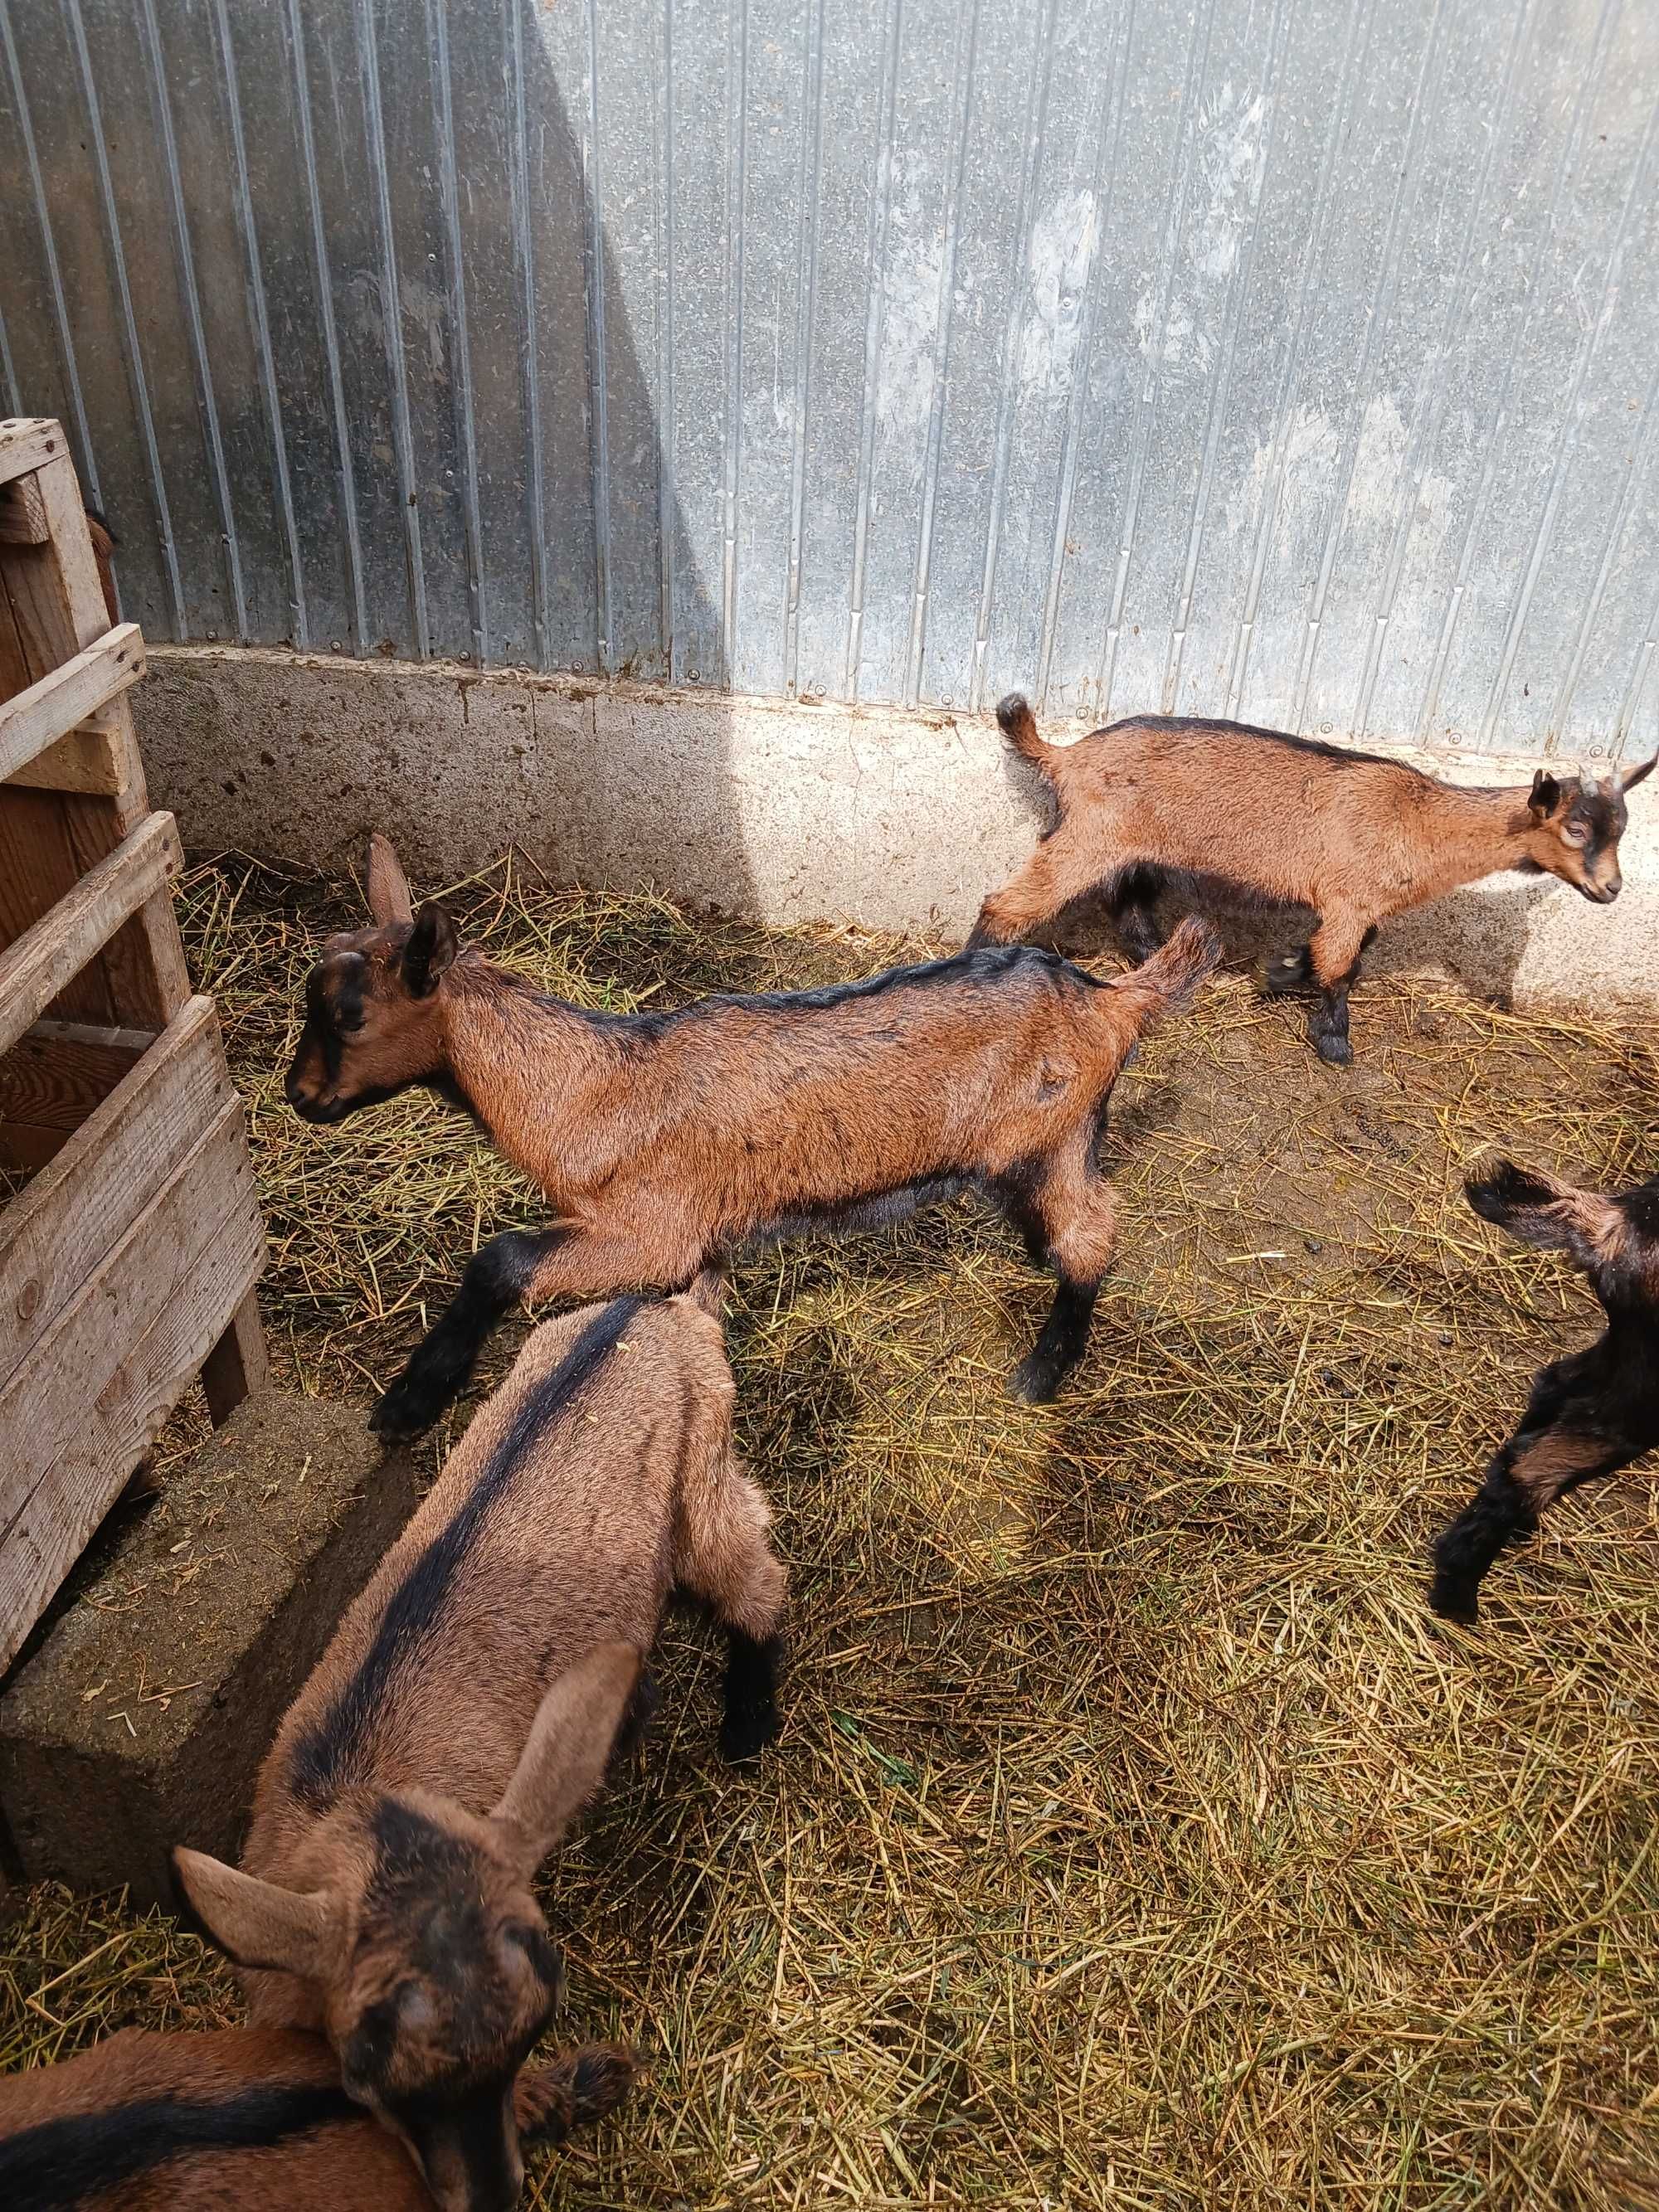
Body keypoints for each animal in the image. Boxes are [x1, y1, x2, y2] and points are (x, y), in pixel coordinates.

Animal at [176, 1282, 787, 2212]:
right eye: (375, 2078)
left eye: (535, 2036)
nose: (494, 2197)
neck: (354, 1795)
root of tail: (651, 1306)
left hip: (705, 1481)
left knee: (755, 1571)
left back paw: (747, 1724)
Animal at [283, 831, 1221, 1433]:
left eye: (351, 1014)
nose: (299, 1095)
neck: (590, 1089)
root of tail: (1110, 998)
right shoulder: (697, 1246)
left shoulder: (652, 1227)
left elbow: (502, 1258)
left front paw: (408, 1404)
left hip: (1050, 1135)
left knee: (1094, 1232)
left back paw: (1041, 1370)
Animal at [969, 694, 1654, 1066]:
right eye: (1575, 830)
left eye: (1621, 829)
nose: (1612, 889)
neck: (1420, 818)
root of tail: (1066, 755)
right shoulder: (1350, 899)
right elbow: (1341, 968)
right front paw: (1333, 1041)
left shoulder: (1364, 906)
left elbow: (1342, 957)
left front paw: (1281, 972)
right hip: (1091, 836)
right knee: (1008, 902)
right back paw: (980, 972)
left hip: (1132, 846)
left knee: (1129, 905)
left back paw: (1158, 963)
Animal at [1433, 1159, 1659, 1627]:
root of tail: (1615, 1221)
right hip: (1641, 1400)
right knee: (1531, 1473)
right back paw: (1456, 1599)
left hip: (1624, 1356)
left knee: (1553, 1386)